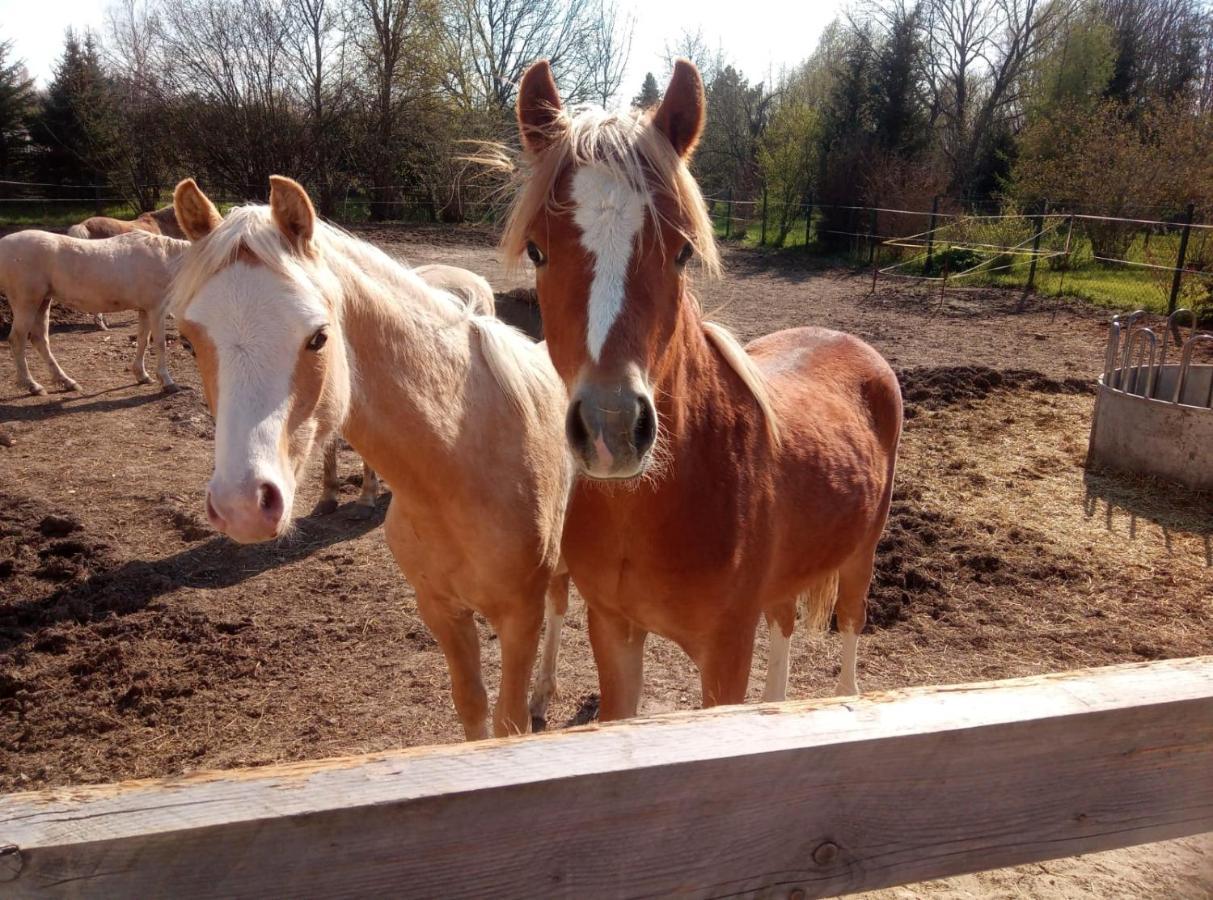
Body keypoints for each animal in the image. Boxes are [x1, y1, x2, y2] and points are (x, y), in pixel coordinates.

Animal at [1, 229, 185, 395]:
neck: (166, 259)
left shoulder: (145, 310)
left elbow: (143, 341)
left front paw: (142, 375)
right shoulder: (156, 309)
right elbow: (160, 344)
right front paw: (167, 382)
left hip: (42, 303)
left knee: (40, 340)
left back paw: (66, 382)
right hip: (26, 303)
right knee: (17, 340)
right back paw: (32, 385)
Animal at [507, 58, 907, 718]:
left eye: (683, 251)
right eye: (537, 249)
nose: (612, 429)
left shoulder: (725, 652)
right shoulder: (613, 630)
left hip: (860, 556)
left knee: (850, 625)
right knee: (785, 625)